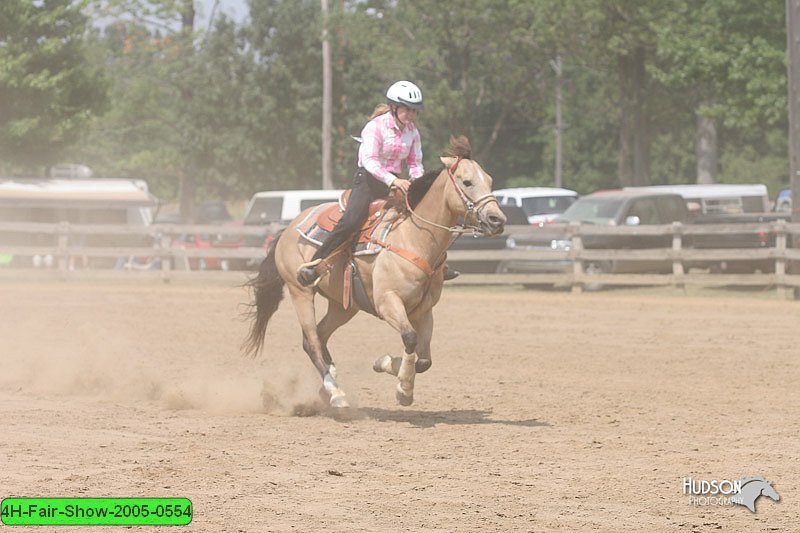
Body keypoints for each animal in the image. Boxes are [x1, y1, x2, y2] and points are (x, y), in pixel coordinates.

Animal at [244, 137, 506, 408]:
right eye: (467, 182)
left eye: (489, 180)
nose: (497, 219)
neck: (413, 238)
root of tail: (288, 229)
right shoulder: (387, 302)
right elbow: (410, 338)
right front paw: (403, 387)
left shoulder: (424, 310)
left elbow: (424, 360)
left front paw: (389, 367)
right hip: (301, 293)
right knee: (313, 341)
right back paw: (336, 393)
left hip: (344, 306)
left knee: (318, 336)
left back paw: (329, 385)